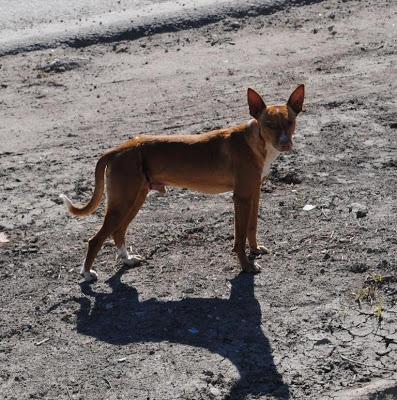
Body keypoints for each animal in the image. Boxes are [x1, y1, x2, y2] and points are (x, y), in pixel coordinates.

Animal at [60, 85, 304, 280]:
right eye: (269, 124)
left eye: (290, 122)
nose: (286, 144)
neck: (255, 144)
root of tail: (119, 149)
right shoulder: (241, 197)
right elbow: (240, 236)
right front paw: (246, 266)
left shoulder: (254, 193)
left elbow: (252, 228)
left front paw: (255, 250)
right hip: (123, 202)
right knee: (95, 239)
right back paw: (87, 273)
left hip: (135, 198)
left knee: (118, 232)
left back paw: (127, 259)